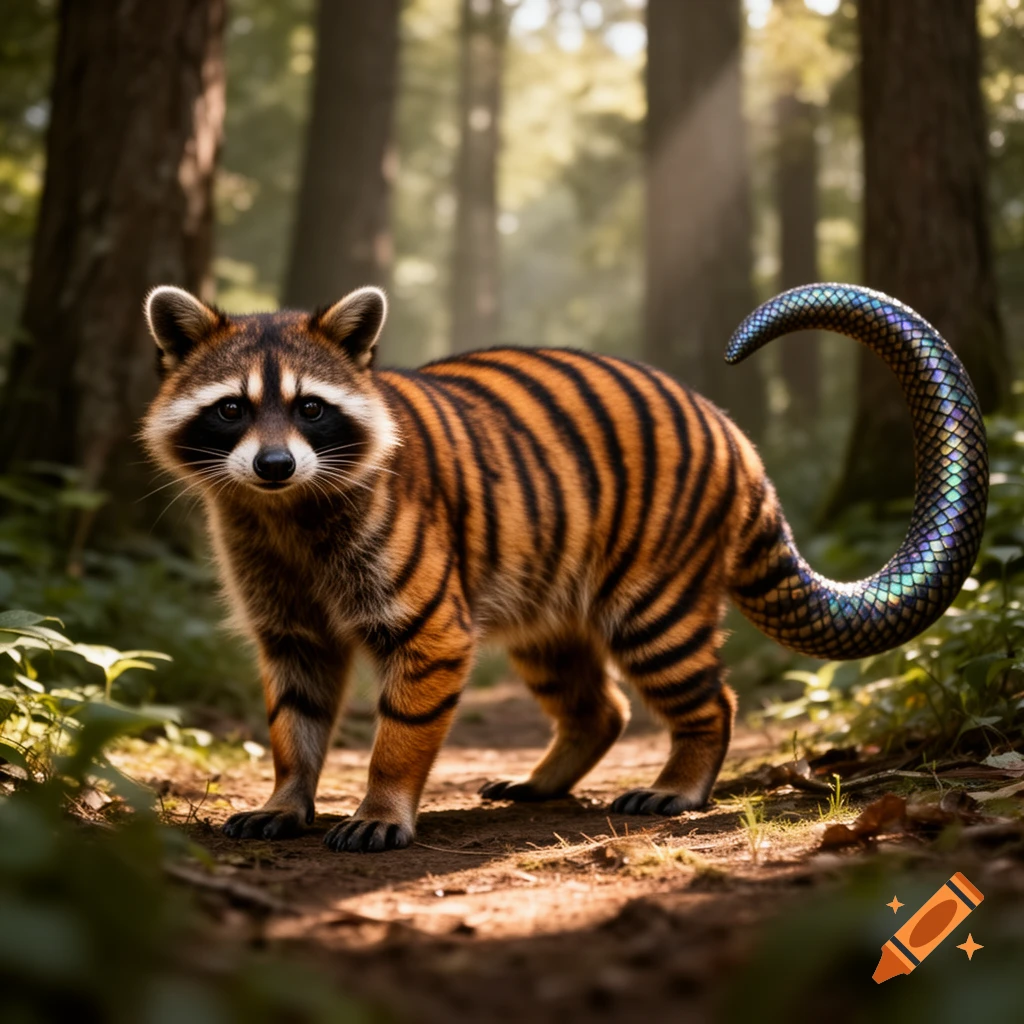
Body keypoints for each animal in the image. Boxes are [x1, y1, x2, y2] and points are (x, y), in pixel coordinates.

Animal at [141, 282, 987, 853]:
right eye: (232, 409)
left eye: (311, 408)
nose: (275, 464)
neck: (285, 517)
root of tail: (732, 432)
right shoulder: (290, 631)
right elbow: (294, 728)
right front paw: (284, 806)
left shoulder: (428, 629)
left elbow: (397, 739)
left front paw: (378, 817)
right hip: (546, 622)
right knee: (599, 707)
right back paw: (538, 784)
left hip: (656, 610)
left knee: (711, 702)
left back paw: (674, 791)